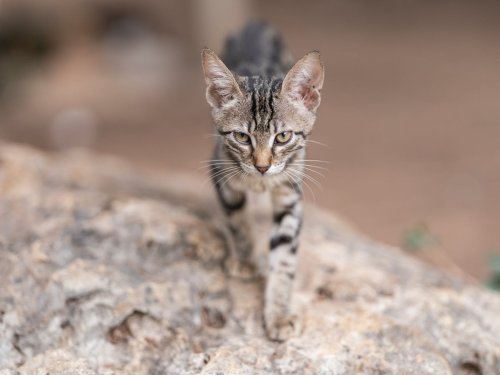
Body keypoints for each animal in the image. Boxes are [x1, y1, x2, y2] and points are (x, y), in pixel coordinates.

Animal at [200, 22, 324, 342]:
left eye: (283, 137)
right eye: (242, 137)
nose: (262, 166)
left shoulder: (290, 194)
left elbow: (284, 258)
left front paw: (278, 314)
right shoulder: (221, 172)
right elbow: (237, 221)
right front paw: (245, 259)